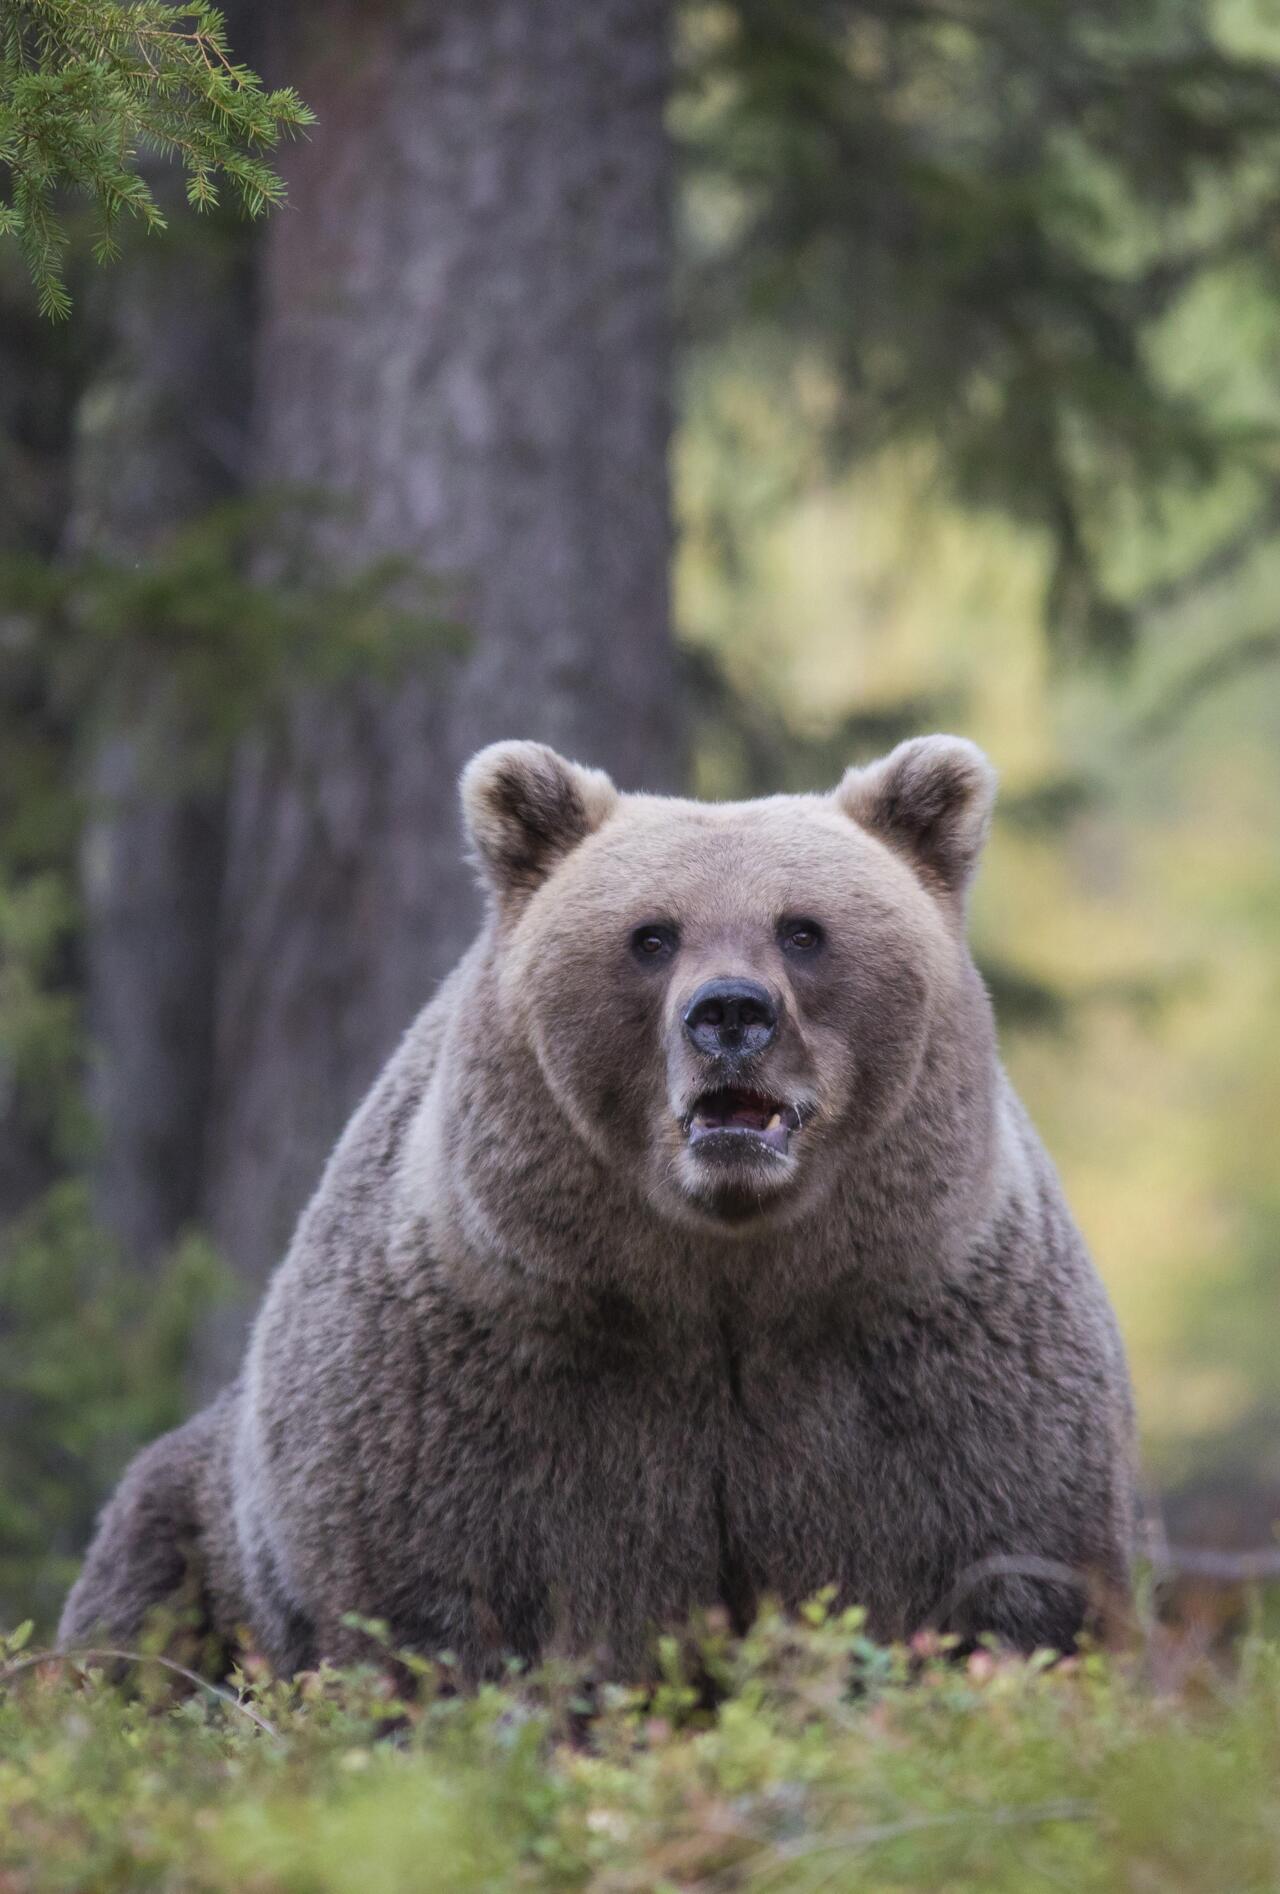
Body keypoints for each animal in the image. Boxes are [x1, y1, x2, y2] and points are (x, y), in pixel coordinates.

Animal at [62, 734, 1143, 1674]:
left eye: (803, 929)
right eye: (651, 935)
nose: (730, 1012)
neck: (723, 1283)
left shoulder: (933, 1363)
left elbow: (1014, 1578)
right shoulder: (474, 1384)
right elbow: (423, 1605)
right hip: (189, 1526)